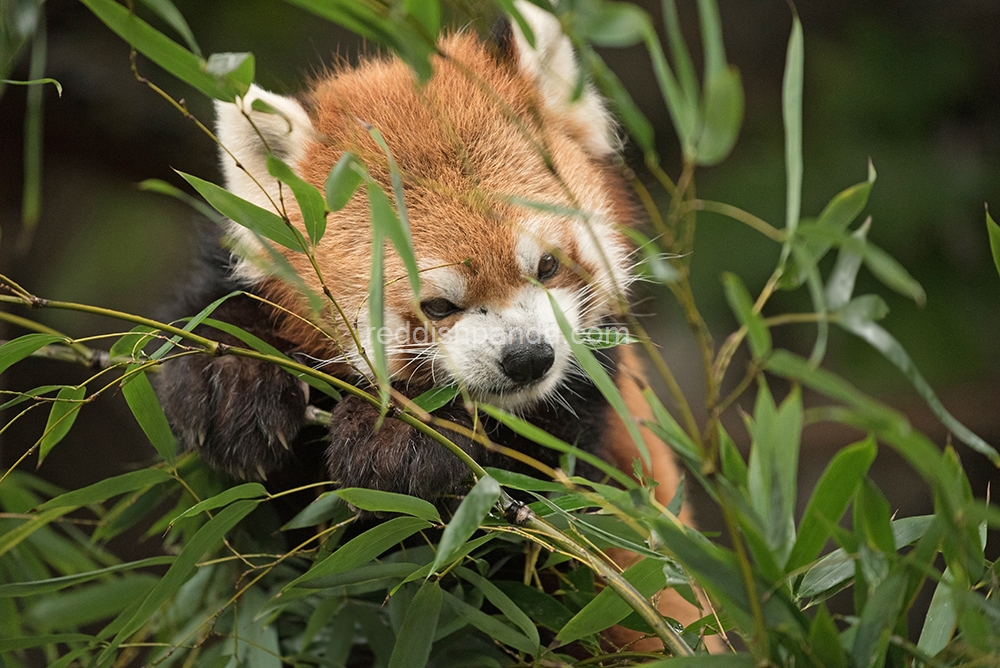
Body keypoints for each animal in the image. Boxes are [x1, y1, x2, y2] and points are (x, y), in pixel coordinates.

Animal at [154, 0, 704, 648]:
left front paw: (402, 439)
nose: (528, 358)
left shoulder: (589, 421)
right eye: (438, 306)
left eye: (547, 265)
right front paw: (231, 378)